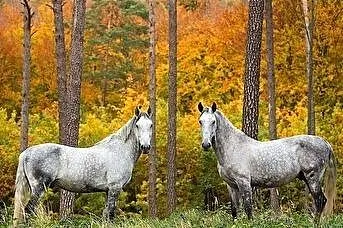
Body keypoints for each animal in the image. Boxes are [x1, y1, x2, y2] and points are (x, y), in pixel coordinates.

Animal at [13, 106, 153, 225]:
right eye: (137, 125)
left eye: (151, 125)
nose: (145, 147)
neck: (119, 151)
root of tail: (26, 152)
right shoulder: (115, 188)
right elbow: (111, 214)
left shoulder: (108, 191)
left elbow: (106, 214)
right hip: (38, 188)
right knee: (28, 210)